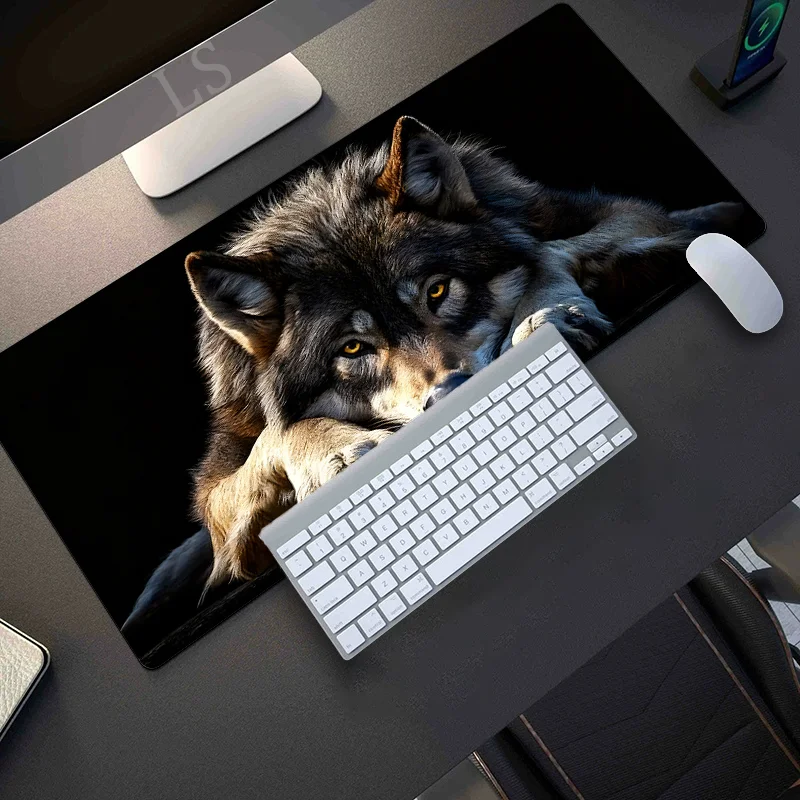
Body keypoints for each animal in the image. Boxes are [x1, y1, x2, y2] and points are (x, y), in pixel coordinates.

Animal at [182, 116, 742, 591]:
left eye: (437, 291)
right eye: (353, 347)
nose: (452, 392)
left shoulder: (629, 214)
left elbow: (546, 250)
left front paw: (546, 316)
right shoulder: (216, 494)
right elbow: (273, 438)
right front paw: (335, 450)